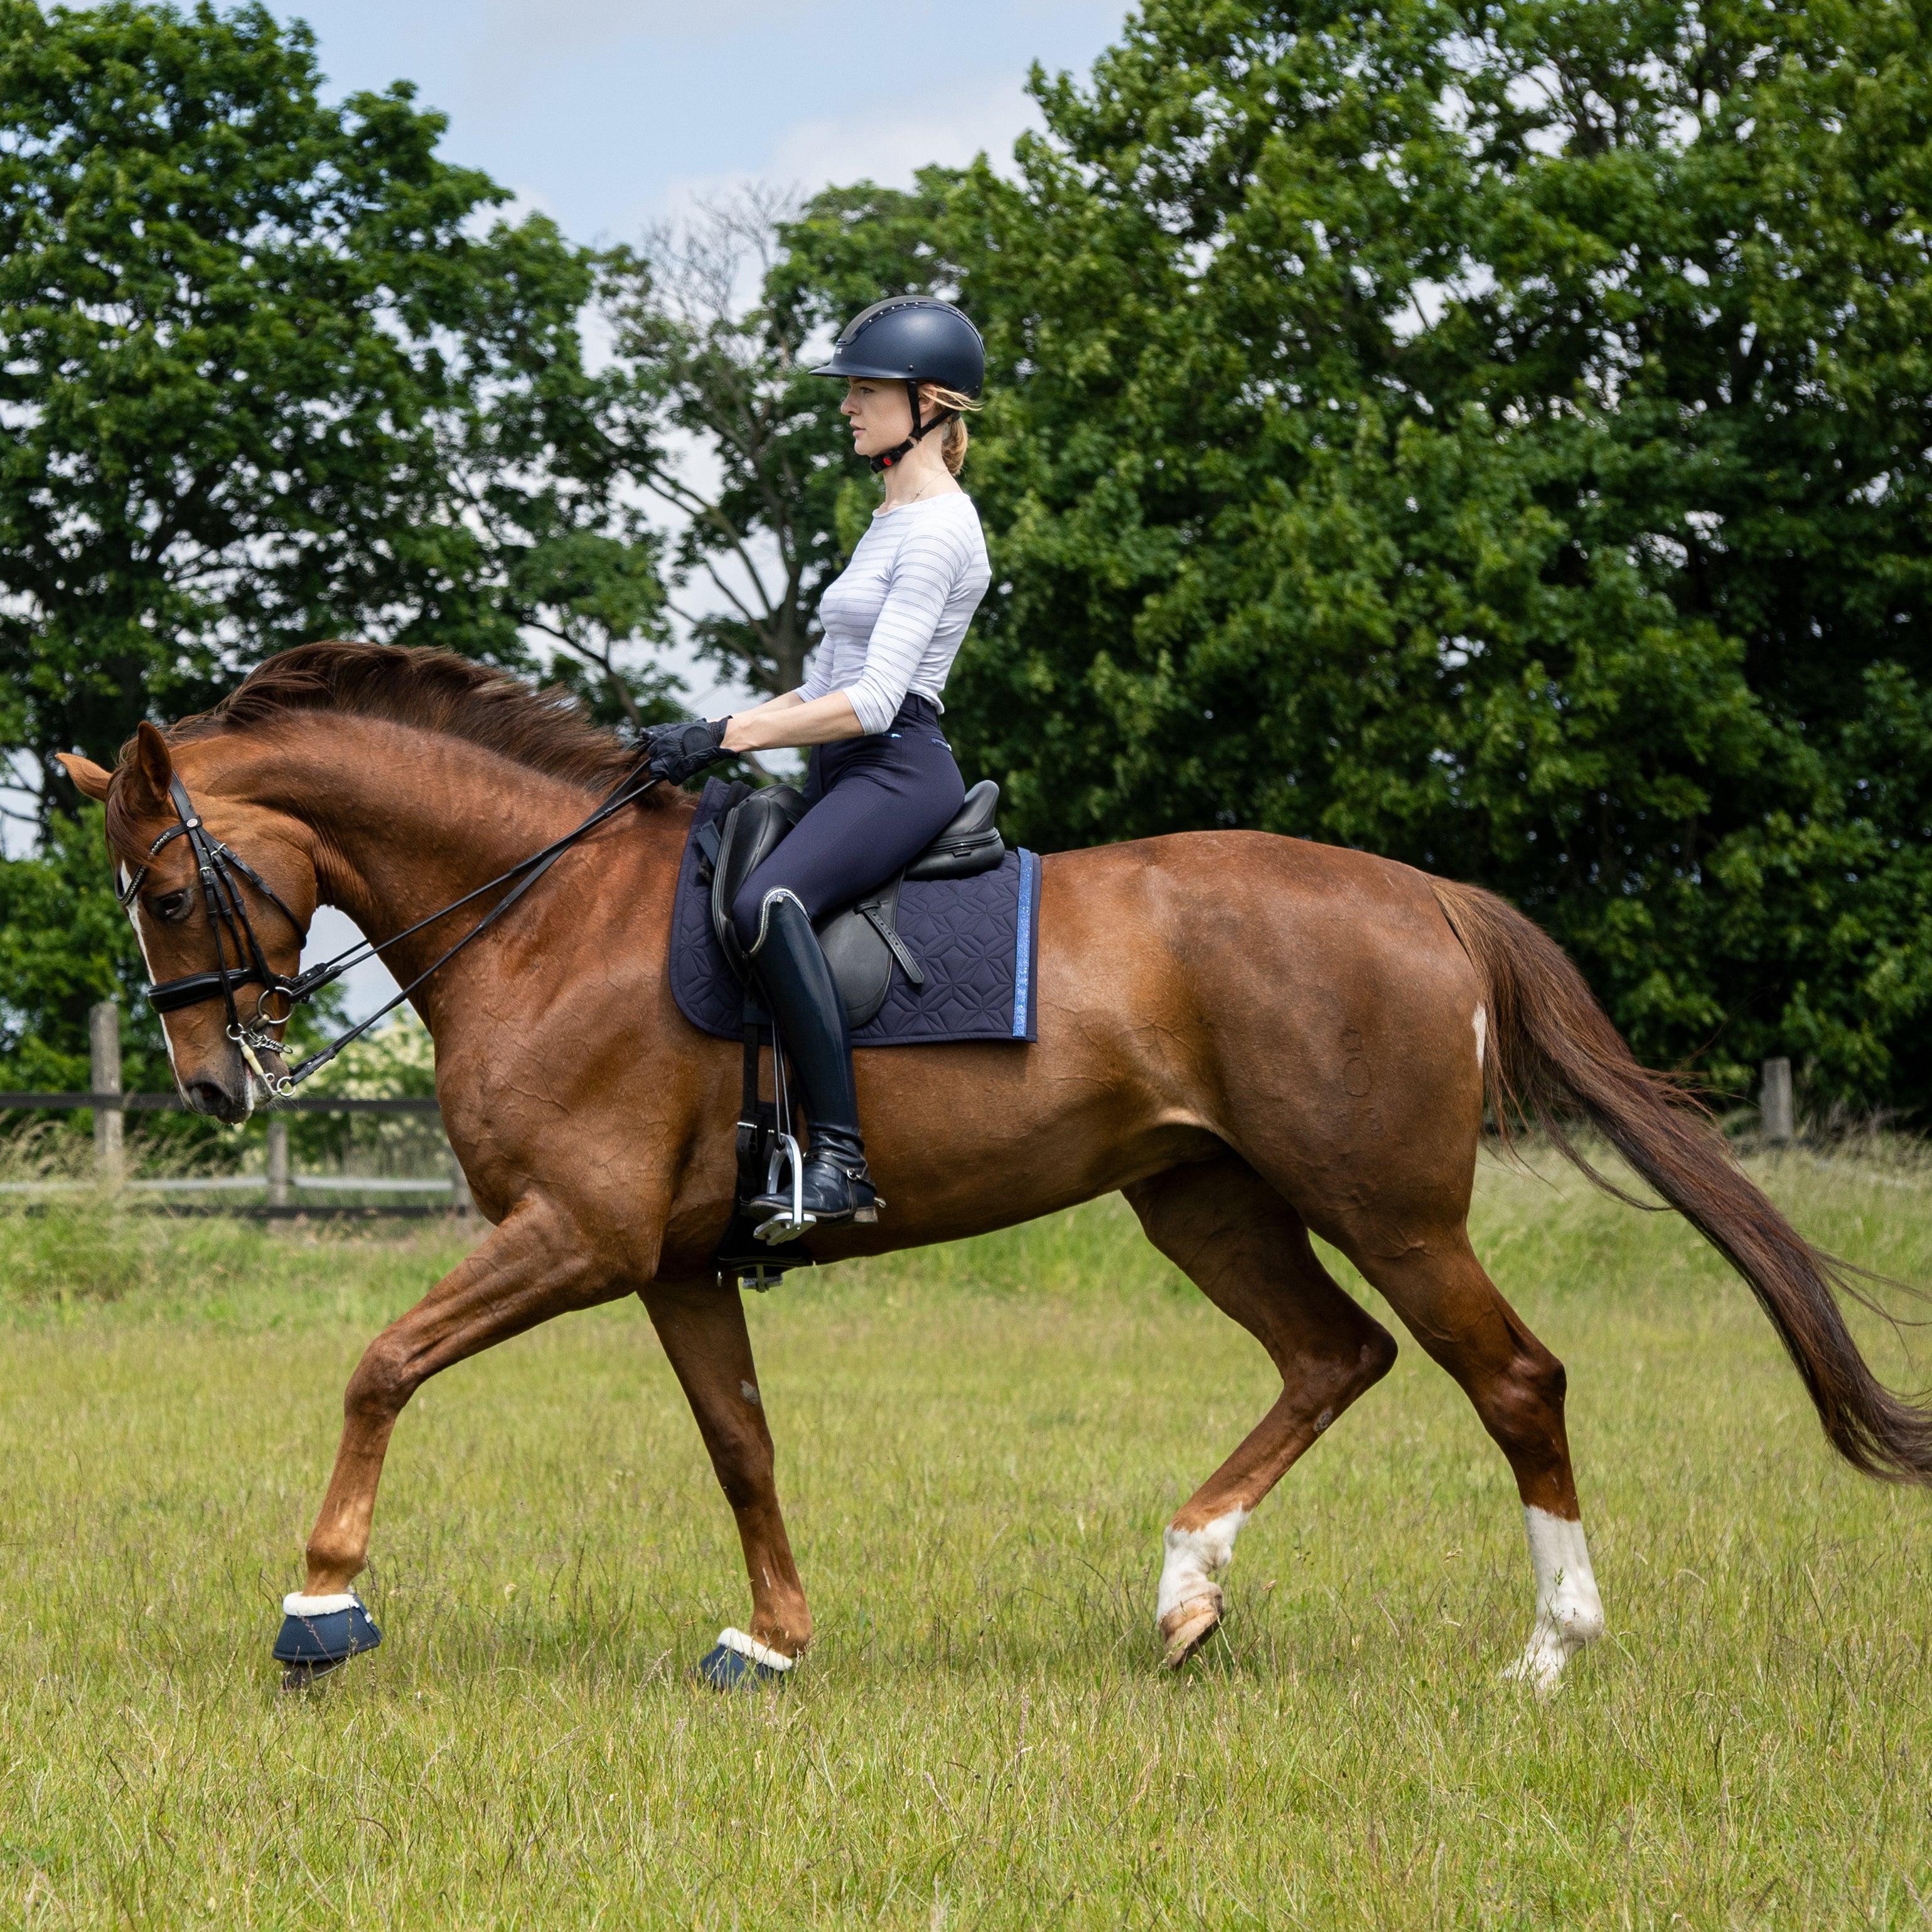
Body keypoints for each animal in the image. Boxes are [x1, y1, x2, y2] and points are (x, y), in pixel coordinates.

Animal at [56, 642, 1932, 1693]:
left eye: (167, 883)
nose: (212, 1083)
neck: (542, 908)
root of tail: (1423, 896)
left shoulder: (573, 1232)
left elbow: (380, 1361)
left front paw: (319, 1603)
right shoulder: (664, 1259)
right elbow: (740, 1442)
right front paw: (771, 1638)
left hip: (1384, 1204)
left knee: (1510, 1376)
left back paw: (1544, 1651)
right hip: (1200, 1194)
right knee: (1333, 1356)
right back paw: (1184, 1592)